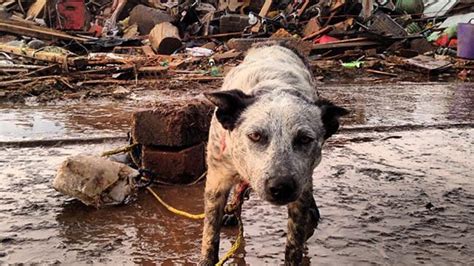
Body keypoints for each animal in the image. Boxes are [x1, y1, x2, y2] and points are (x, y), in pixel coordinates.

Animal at [200, 42, 348, 264]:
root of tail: (275, 43)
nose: (281, 187)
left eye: (305, 139)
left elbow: (294, 244)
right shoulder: (217, 179)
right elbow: (210, 234)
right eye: (255, 136)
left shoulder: (300, 189)